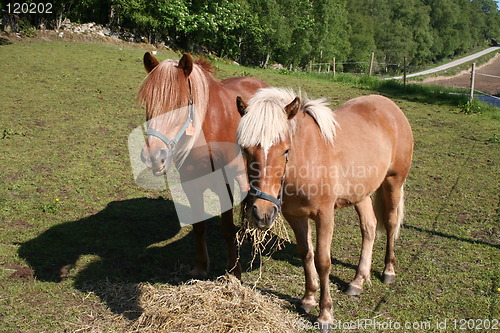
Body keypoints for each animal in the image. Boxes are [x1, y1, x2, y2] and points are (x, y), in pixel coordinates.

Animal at [139, 52, 268, 278]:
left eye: (182, 103)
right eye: (149, 101)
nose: (154, 155)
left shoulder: (226, 185)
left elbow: (227, 228)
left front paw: (234, 270)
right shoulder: (190, 185)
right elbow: (199, 226)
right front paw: (200, 266)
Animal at [236, 87, 412, 326]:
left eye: (286, 150)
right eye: (245, 149)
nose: (262, 213)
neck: (307, 159)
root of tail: (391, 107)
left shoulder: (324, 215)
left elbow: (323, 261)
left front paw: (325, 314)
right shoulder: (295, 216)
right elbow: (306, 253)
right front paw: (308, 299)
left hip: (393, 182)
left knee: (391, 223)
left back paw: (388, 271)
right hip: (361, 193)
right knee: (369, 227)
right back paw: (358, 281)